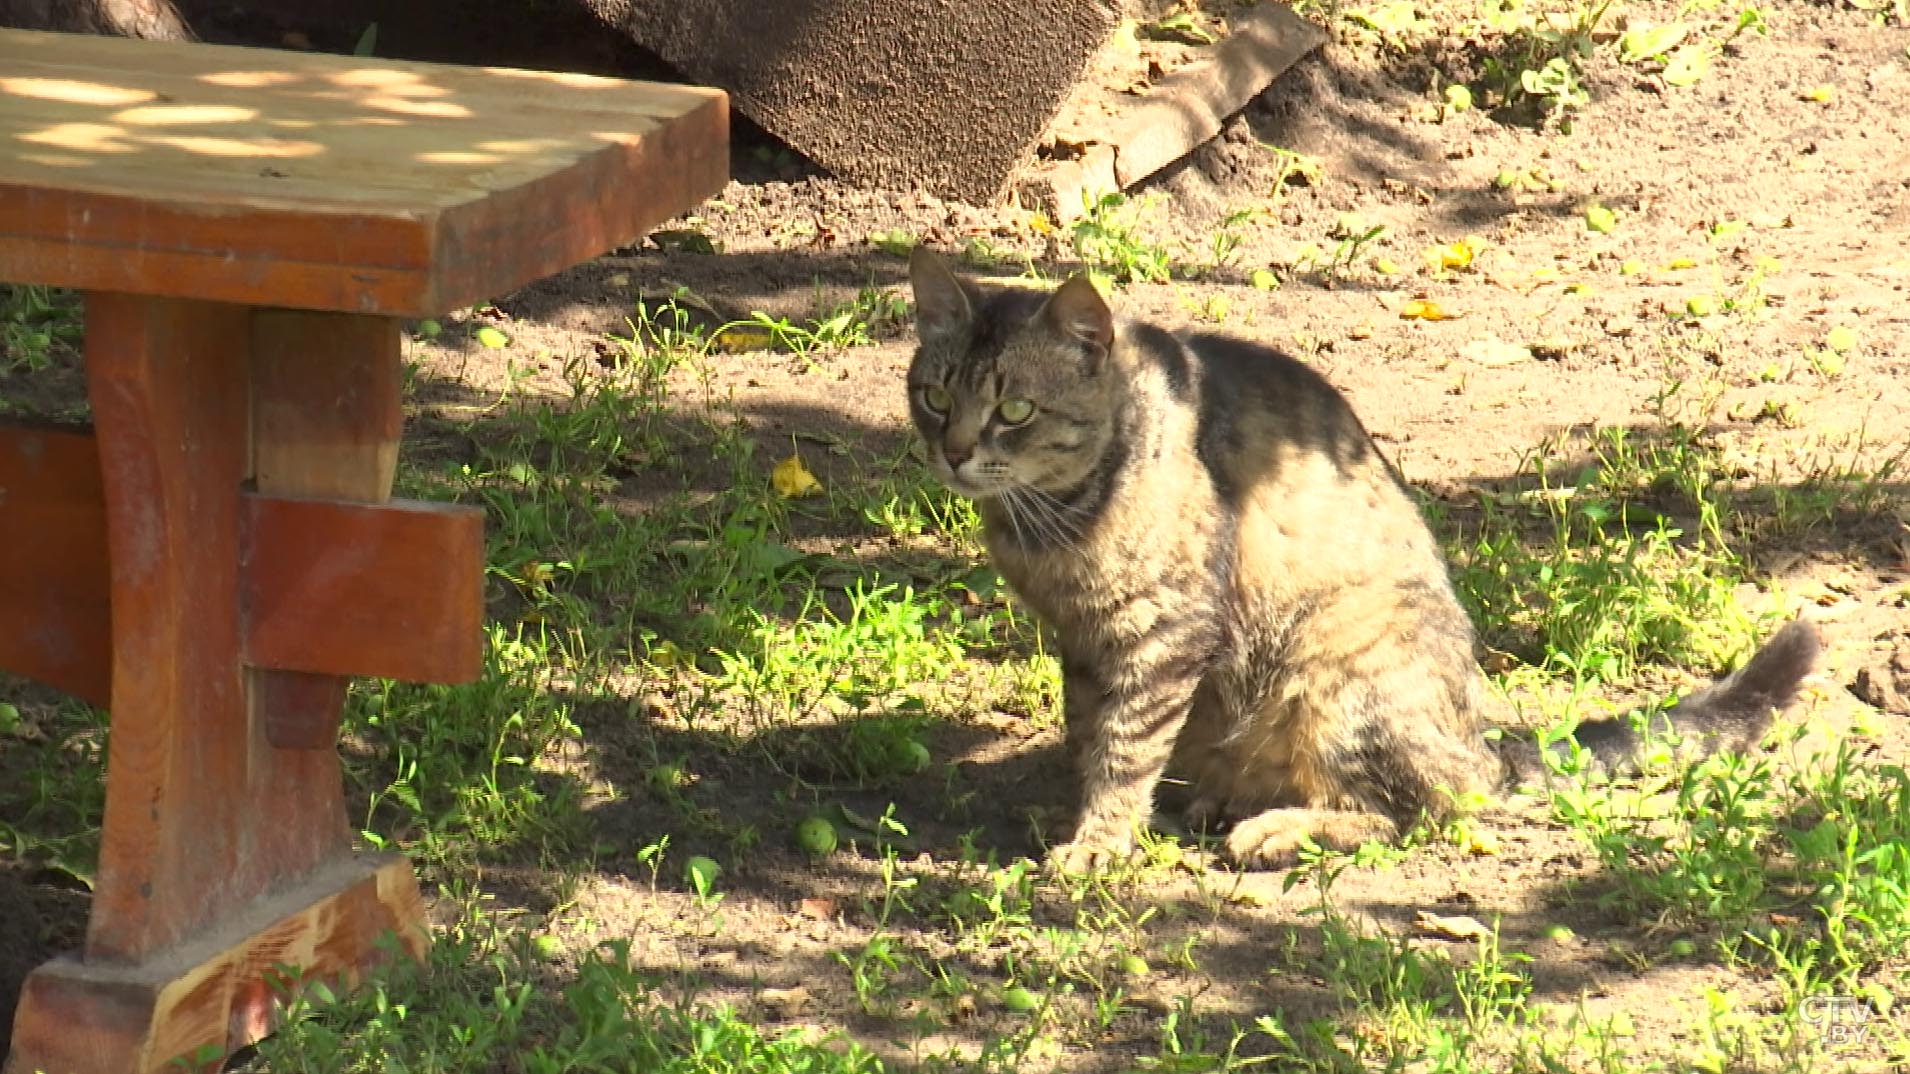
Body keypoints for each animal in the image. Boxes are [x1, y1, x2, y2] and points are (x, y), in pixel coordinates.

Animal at [901, 246, 1825, 863]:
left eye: (1015, 409)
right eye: (935, 394)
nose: (953, 451)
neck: (1051, 524)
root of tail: (1482, 741)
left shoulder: (1166, 630)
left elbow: (1125, 743)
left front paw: (1100, 839)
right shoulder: (1082, 640)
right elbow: (1091, 729)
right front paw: (1093, 813)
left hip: (1338, 669)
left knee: (1420, 810)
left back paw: (1274, 830)